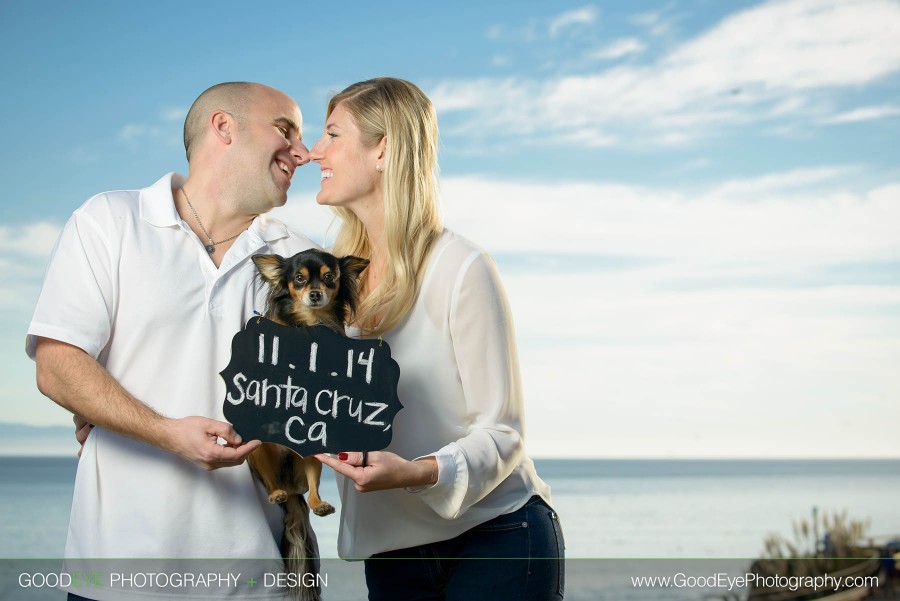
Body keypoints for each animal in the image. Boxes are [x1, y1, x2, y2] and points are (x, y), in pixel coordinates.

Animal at [248, 247, 368, 600]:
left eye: (329, 278)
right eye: (299, 279)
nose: (315, 293)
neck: (311, 325)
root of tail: (291, 487)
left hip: (311, 460)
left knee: (312, 491)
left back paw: (319, 504)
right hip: (258, 452)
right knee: (270, 483)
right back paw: (276, 493)